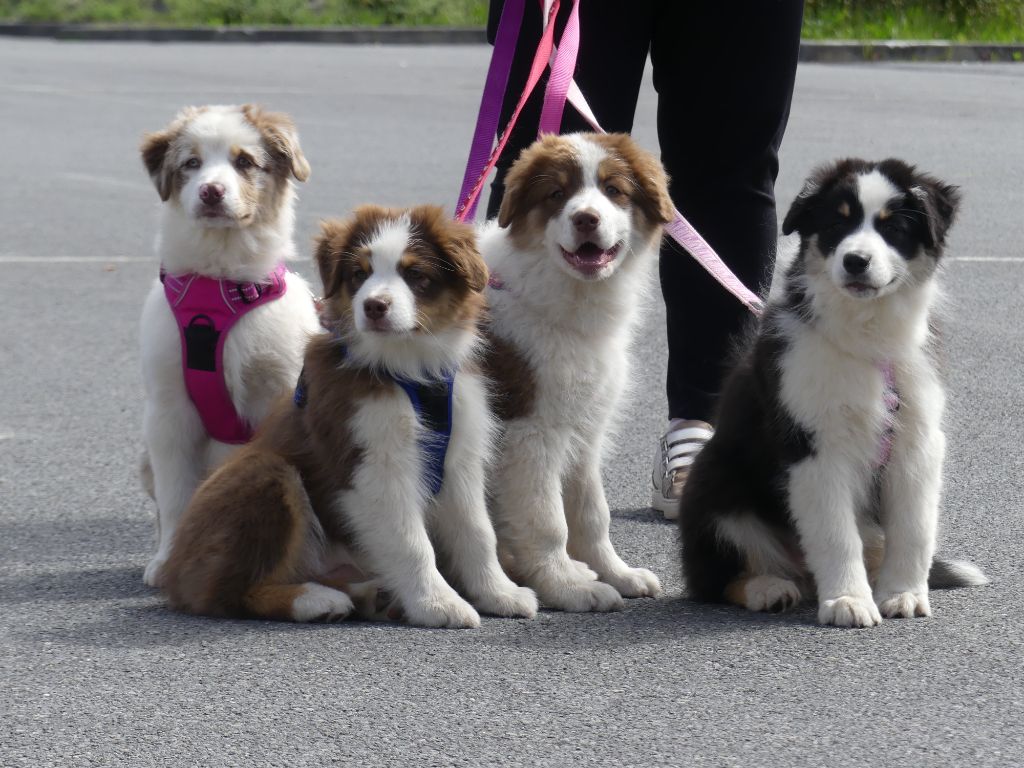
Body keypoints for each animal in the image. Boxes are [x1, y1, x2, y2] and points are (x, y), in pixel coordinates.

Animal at [138, 105, 317, 585]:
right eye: (191, 163)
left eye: (244, 162)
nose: (212, 192)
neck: (222, 285)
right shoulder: (169, 410)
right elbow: (177, 495)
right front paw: (167, 561)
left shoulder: (280, 388)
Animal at [157, 207, 536, 626]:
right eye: (359, 273)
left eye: (414, 274)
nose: (374, 306)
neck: (406, 367)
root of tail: (173, 570)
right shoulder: (373, 462)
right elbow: (412, 542)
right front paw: (438, 605)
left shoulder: (460, 457)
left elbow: (478, 532)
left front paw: (499, 593)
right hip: (263, 473)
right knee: (228, 592)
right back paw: (317, 600)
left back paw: (369, 595)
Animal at [477, 134, 671, 614]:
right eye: (556, 194)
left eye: (614, 190)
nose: (586, 219)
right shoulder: (531, 432)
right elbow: (548, 520)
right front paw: (569, 587)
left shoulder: (585, 427)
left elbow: (590, 512)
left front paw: (617, 573)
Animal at [679, 159, 983, 626]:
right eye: (837, 224)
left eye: (894, 227)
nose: (856, 261)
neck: (866, 337)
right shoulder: (813, 444)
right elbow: (836, 534)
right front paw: (847, 601)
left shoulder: (916, 440)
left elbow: (913, 527)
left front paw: (903, 593)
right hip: (713, 485)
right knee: (714, 578)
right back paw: (769, 588)